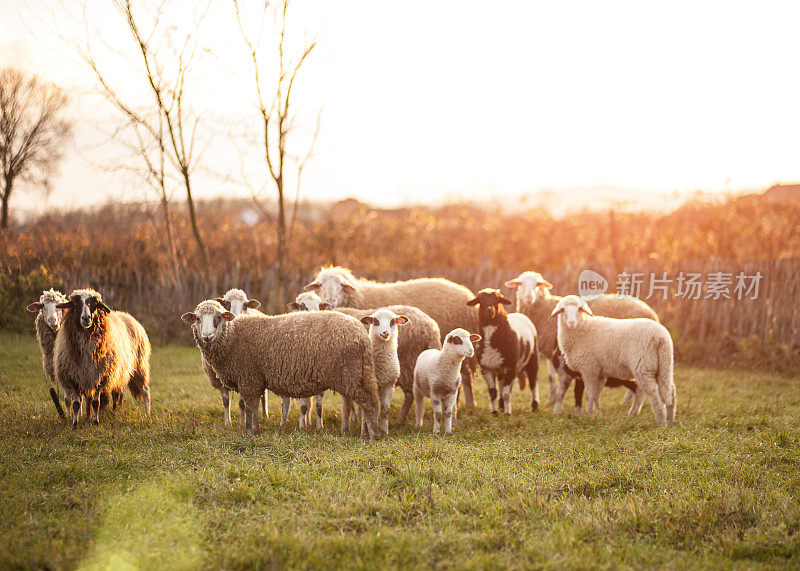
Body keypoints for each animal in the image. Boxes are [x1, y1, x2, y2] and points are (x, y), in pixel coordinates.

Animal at [54, 290, 153, 428]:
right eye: (75, 303)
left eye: (94, 303)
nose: (86, 318)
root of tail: (127, 315)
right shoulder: (75, 377)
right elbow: (76, 404)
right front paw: (74, 425)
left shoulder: (100, 375)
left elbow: (96, 403)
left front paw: (95, 422)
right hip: (120, 373)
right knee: (117, 394)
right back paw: (115, 412)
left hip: (139, 366)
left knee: (145, 391)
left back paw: (147, 414)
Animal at [302, 268, 478, 412]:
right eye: (320, 285)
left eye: (341, 285)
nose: (330, 300)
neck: (359, 297)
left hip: (413, 361)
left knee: (461, 378)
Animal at [552, 294, 680, 424]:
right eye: (563, 310)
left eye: (579, 309)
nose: (571, 322)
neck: (582, 328)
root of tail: (661, 337)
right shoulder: (600, 372)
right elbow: (596, 394)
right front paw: (597, 414)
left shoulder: (589, 369)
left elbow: (589, 395)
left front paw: (589, 415)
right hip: (664, 365)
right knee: (670, 391)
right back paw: (670, 419)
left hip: (644, 367)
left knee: (653, 393)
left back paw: (661, 421)